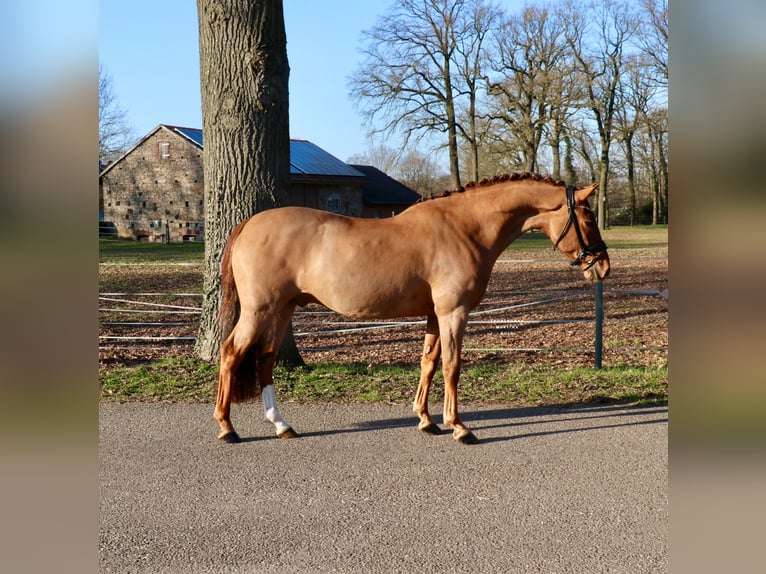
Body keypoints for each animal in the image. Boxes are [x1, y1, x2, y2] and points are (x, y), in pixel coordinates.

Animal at [213, 172, 610, 445]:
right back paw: (227, 427)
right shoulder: (453, 313)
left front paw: (426, 420)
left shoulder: (435, 315)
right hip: (259, 310)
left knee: (264, 358)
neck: (465, 228)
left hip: (282, 310)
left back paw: (281, 424)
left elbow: (428, 363)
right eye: (589, 219)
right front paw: (459, 427)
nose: (603, 267)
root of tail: (250, 223)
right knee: (231, 353)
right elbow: (452, 366)